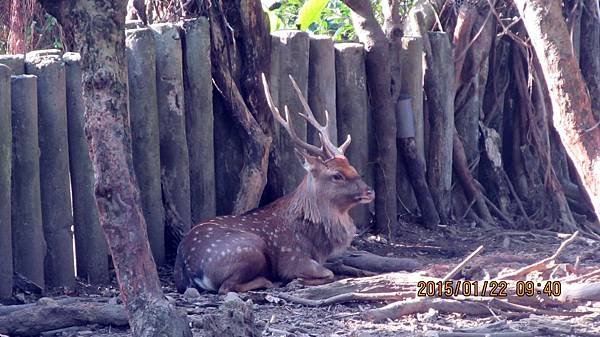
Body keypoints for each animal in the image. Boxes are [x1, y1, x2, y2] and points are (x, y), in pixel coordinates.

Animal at [171, 72, 372, 292]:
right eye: (337, 175)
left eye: (352, 167)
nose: (369, 191)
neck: (316, 243)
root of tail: (190, 269)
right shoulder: (292, 258)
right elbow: (327, 273)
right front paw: (296, 281)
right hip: (248, 248)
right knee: (227, 286)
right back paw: (270, 281)